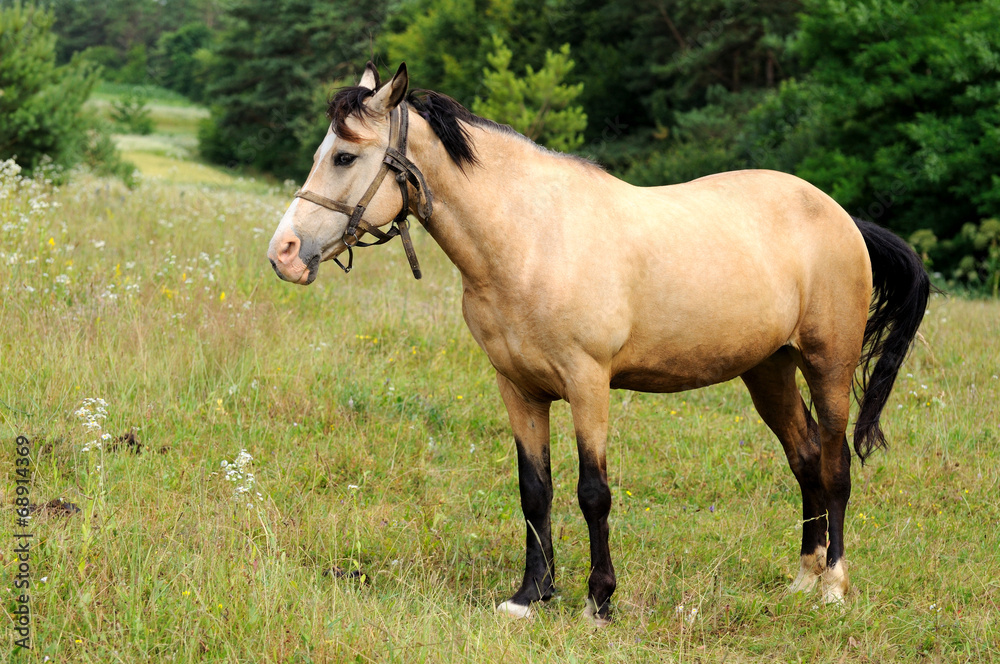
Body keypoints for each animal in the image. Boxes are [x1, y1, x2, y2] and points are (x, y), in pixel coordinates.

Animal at [267, 61, 930, 626]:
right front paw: (530, 595)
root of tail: (841, 217)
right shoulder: (519, 389)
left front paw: (599, 601)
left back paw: (833, 587)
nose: (284, 254)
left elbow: (593, 493)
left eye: (345, 155)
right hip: (768, 371)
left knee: (836, 466)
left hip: (828, 366)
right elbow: (534, 490)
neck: (531, 239)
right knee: (805, 460)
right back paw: (802, 578)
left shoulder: (589, 384)